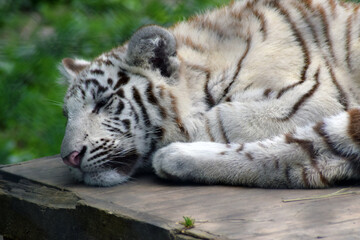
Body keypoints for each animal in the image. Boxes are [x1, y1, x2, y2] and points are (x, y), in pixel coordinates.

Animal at [59, 0, 360, 188]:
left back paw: (174, 157)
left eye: (103, 102)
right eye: (66, 115)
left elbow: (222, 119)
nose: (68, 158)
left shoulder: (313, 96)